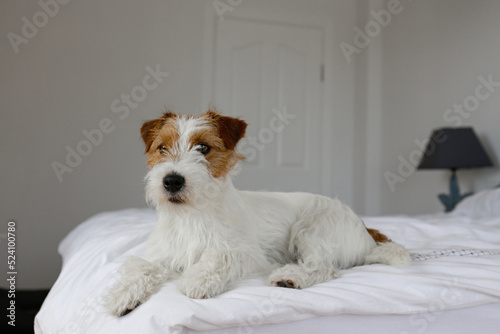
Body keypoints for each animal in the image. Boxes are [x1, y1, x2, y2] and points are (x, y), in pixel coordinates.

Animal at [103, 109, 412, 316]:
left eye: (203, 147)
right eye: (162, 148)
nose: (172, 181)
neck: (192, 216)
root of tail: (365, 231)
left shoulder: (248, 254)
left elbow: (217, 256)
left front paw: (198, 279)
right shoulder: (162, 256)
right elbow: (140, 266)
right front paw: (123, 295)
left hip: (311, 228)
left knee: (323, 267)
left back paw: (291, 277)